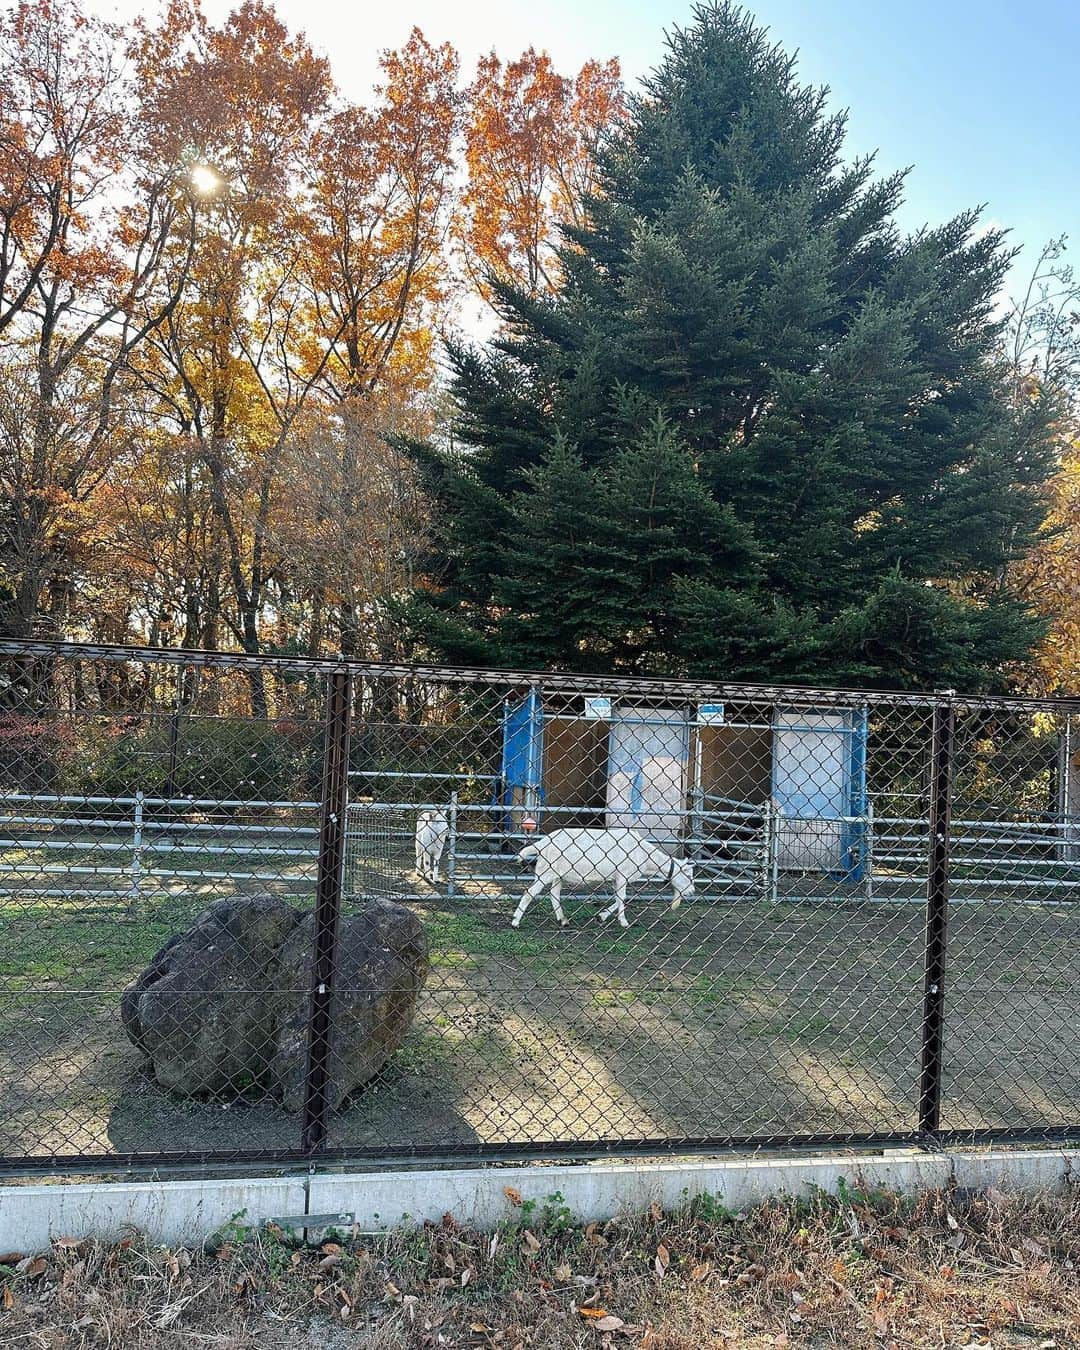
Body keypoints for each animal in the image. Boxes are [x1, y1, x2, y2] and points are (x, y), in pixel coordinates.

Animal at [510, 820, 696, 928]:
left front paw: (602, 916)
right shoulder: (622, 875)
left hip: (556, 874)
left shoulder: (616, 878)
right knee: (529, 893)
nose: (692, 891)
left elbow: (618, 898)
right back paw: (515, 922)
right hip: (547, 871)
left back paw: (563, 920)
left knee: (554, 894)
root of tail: (542, 843)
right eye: (688, 876)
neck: (644, 855)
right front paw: (624, 922)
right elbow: (622, 898)